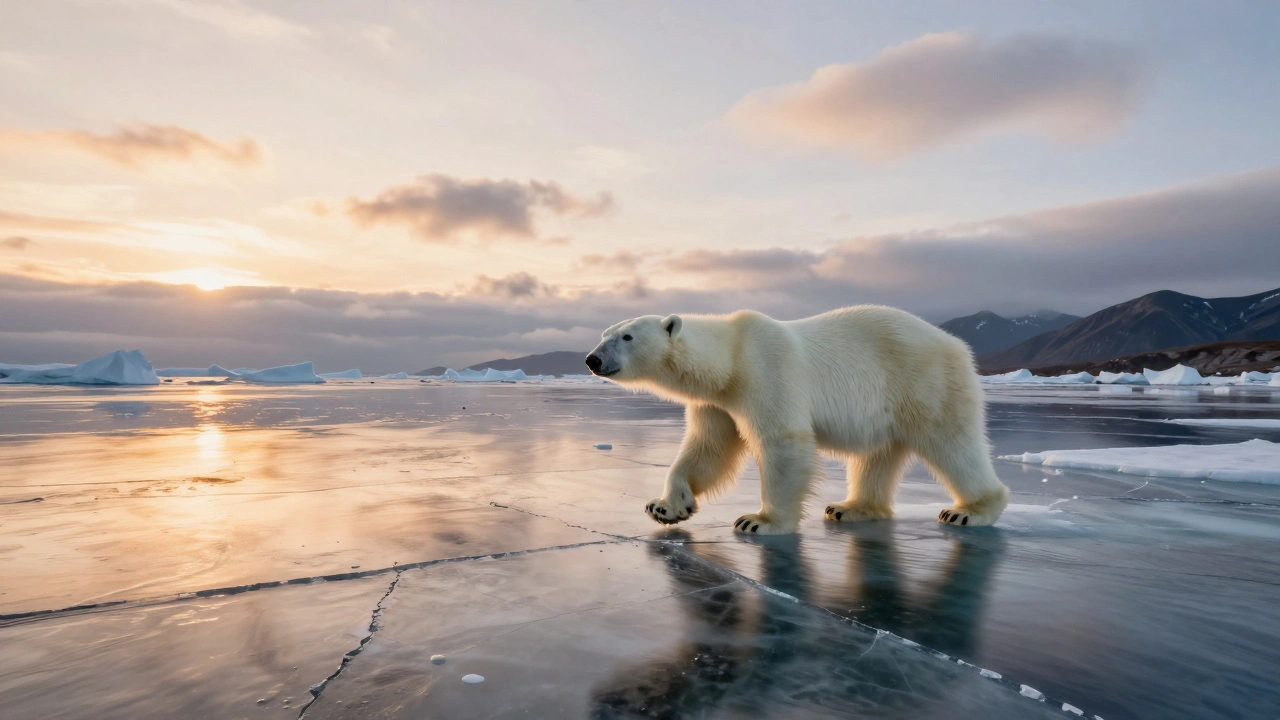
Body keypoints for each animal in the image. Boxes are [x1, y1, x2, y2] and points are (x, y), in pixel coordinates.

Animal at [585, 306, 1009, 535]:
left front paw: (760, 521)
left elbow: (783, 441)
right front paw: (666, 507)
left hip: (924, 380)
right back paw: (851, 507)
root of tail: (956, 344)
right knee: (877, 455)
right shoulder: (718, 402)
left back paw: (968, 510)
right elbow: (707, 449)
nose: (592, 358)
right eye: (604, 332)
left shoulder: (767, 371)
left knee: (952, 442)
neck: (731, 357)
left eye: (626, 336)